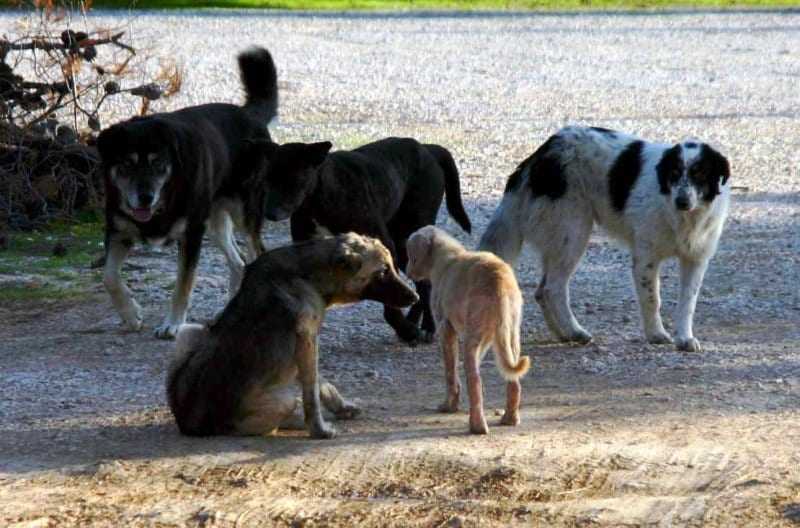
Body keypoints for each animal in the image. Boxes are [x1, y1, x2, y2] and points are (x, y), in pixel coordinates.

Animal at [97, 47, 278, 340]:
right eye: (126, 164)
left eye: (158, 164)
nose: (144, 198)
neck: (164, 200)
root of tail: (249, 115)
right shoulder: (118, 231)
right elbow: (109, 277)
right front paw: (131, 314)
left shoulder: (191, 234)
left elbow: (183, 284)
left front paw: (172, 324)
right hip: (215, 222)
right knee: (239, 263)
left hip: (244, 213)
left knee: (256, 253)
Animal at [167, 233, 418, 440]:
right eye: (383, 271)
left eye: (392, 266)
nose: (415, 297)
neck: (308, 274)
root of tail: (190, 425)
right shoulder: (307, 340)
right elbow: (311, 393)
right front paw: (319, 429)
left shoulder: (308, 345)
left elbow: (321, 383)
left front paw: (341, 407)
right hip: (281, 402)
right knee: (273, 421)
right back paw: (295, 422)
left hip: (190, 331)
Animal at [250, 136, 472, 344]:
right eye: (266, 180)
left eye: (294, 180)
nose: (269, 213)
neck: (320, 195)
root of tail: (427, 148)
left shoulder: (384, 246)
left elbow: (390, 298)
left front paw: (405, 330)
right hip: (404, 246)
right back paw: (413, 320)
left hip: (408, 235)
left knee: (425, 284)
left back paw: (427, 327)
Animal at [410, 225, 528, 436]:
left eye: (411, 256)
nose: (407, 273)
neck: (446, 256)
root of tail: (499, 281)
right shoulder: (488, 338)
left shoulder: (445, 329)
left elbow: (450, 373)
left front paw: (449, 406)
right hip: (510, 335)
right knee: (513, 380)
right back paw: (510, 419)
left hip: (473, 337)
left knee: (474, 380)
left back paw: (477, 426)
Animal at [478, 126, 736, 352]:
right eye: (674, 174)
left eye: (700, 174)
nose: (681, 201)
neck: (684, 218)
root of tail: (542, 153)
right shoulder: (646, 258)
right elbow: (652, 299)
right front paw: (656, 334)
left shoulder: (696, 260)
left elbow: (688, 303)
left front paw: (684, 338)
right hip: (573, 232)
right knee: (553, 288)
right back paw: (574, 331)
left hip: (560, 238)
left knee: (541, 291)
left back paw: (563, 334)